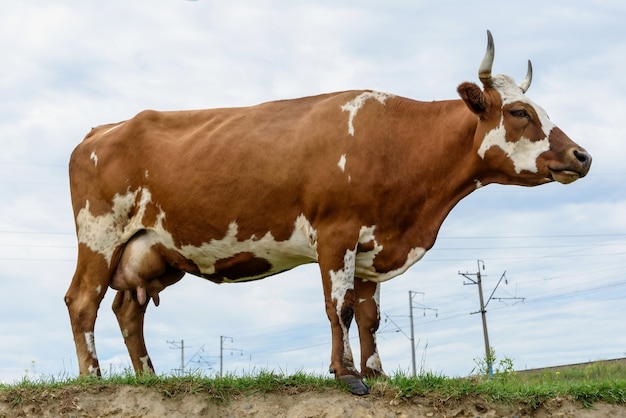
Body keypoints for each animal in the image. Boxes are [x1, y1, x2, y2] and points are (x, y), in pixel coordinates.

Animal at [66, 31, 588, 396]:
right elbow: (340, 307)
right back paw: (93, 378)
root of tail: (101, 129)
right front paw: (347, 374)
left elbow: (370, 315)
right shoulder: (337, 233)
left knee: (127, 310)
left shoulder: (373, 244)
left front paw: (378, 373)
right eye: (520, 112)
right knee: (83, 301)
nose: (582, 156)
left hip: (152, 250)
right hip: (99, 236)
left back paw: (148, 378)